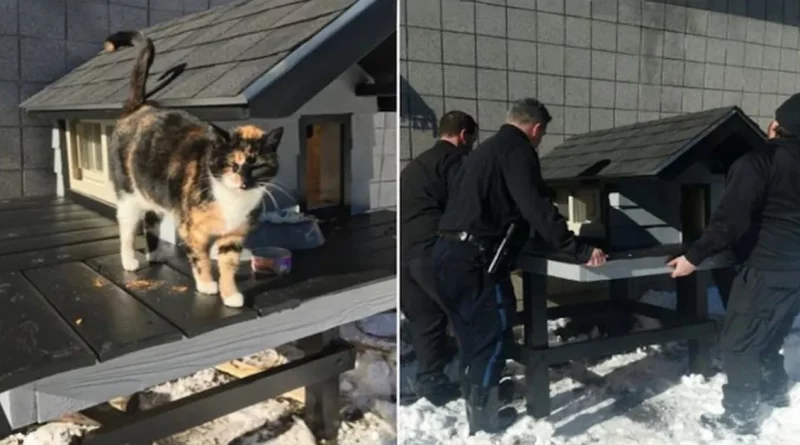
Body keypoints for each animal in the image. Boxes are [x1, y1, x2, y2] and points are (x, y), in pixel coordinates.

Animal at [104, 31, 282, 306]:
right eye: (232, 165)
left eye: (259, 166)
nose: (244, 181)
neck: (231, 200)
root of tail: (138, 107)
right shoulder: (192, 230)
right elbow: (201, 259)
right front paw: (207, 284)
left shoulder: (233, 235)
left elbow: (228, 264)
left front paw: (230, 295)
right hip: (128, 196)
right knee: (126, 228)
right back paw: (129, 260)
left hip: (154, 194)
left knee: (151, 220)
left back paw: (154, 255)